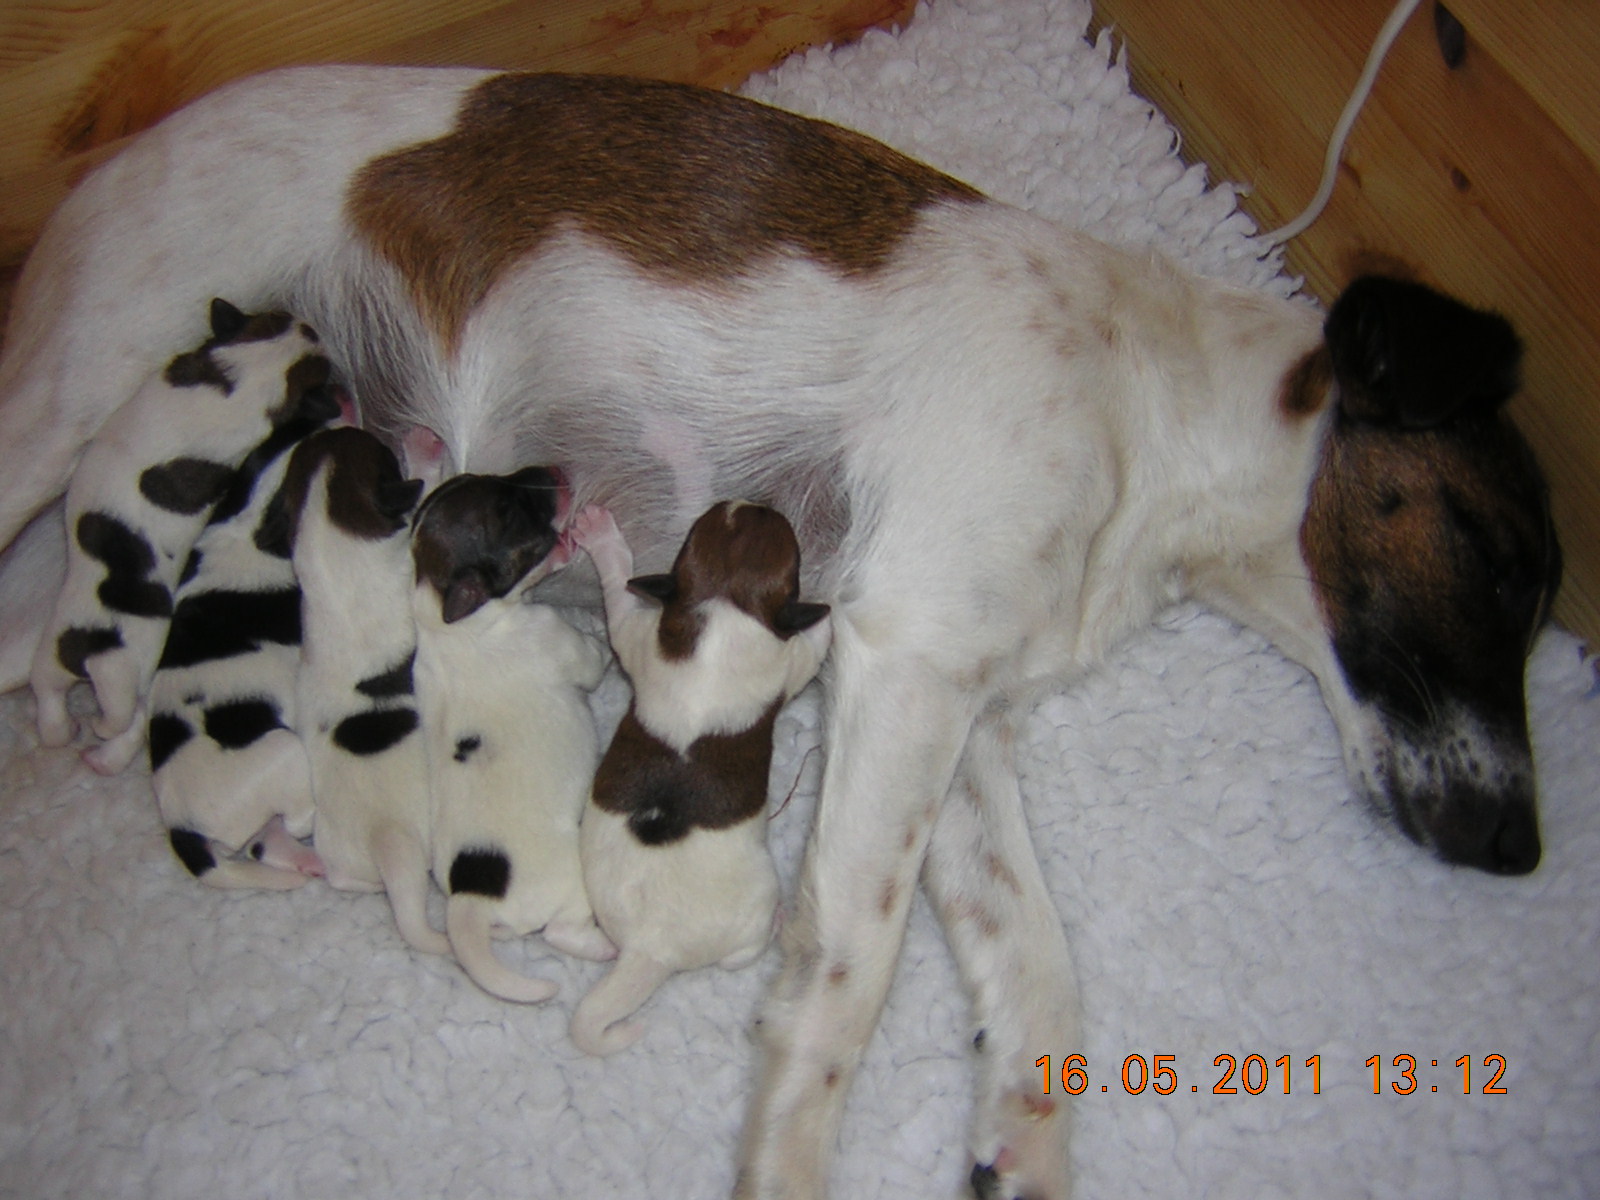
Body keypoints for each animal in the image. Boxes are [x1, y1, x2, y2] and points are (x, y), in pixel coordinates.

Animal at [29, 296, 331, 774]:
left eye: (280, 318)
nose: (312, 326)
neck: (240, 370)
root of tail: (95, 645)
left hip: (53, 653)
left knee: (50, 696)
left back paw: (69, 736)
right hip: (130, 672)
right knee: (125, 721)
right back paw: (102, 747)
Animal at [265, 428, 444, 960]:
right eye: (376, 446)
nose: (341, 422)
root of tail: (385, 842)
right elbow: (427, 490)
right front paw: (425, 449)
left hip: (334, 848)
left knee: (343, 876)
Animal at [409, 470, 614, 1004]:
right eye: (507, 509)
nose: (555, 471)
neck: (445, 619)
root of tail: (472, 897)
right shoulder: (560, 641)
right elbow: (594, 657)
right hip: (572, 881)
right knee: (562, 931)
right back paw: (606, 947)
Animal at [569, 502, 832, 1056]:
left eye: (699, 529)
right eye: (795, 557)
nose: (753, 503)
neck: (724, 599)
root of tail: (650, 947)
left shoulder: (640, 634)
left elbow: (618, 602)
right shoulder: (789, 662)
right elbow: (815, 643)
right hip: (754, 905)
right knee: (742, 954)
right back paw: (779, 922)